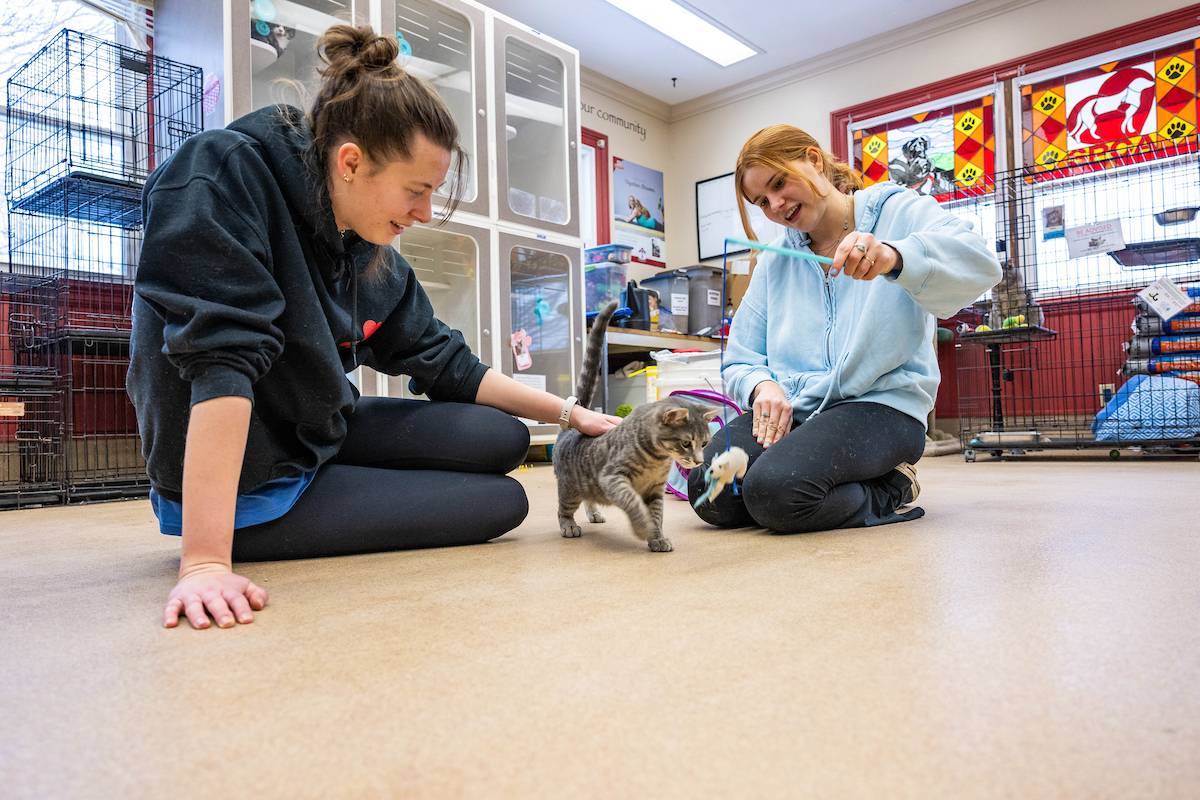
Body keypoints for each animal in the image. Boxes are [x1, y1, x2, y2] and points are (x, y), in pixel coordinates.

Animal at [554, 299, 720, 551]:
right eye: (685, 443)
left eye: (705, 443)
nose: (699, 461)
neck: (657, 460)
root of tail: (571, 430)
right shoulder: (613, 478)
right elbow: (633, 504)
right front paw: (643, 528)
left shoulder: (655, 490)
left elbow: (657, 515)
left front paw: (657, 537)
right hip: (570, 487)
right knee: (564, 508)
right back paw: (569, 525)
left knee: (588, 499)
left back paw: (593, 513)